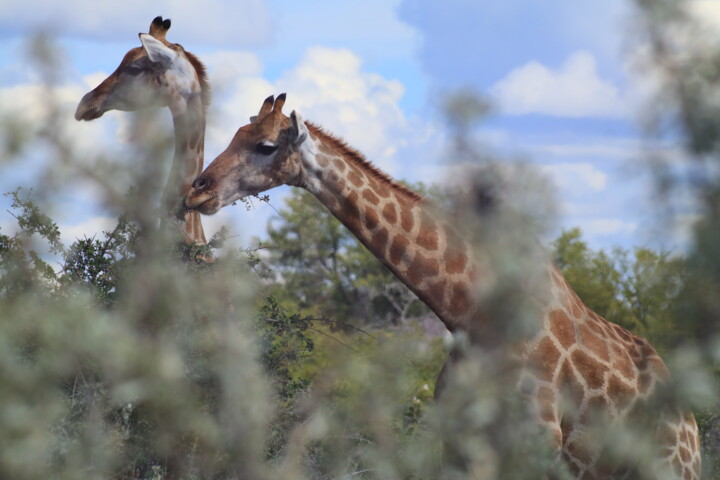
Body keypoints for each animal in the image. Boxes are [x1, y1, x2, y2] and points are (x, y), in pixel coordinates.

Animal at [183, 94, 700, 480]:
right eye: (238, 135)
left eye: (267, 145)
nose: (197, 191)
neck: (467, 315)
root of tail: (692, 430)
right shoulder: (458, 439)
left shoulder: (537, 439)